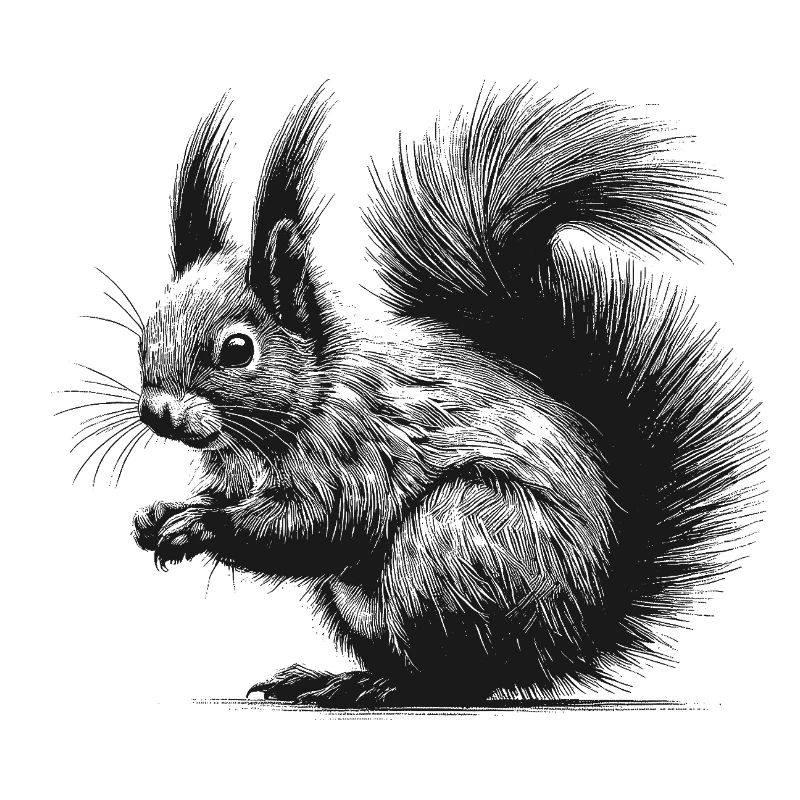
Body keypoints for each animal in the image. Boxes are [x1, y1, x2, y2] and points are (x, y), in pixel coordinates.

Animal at [124, 85, 762, 707]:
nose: (158, 413)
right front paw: (158, 515)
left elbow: (321, 523)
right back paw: (331, 679)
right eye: (143, 338)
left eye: (237, 349)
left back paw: (376, 687)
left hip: (452, 545)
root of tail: (571, 637)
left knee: (458, 675)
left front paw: (201, 526)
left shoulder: (362, 448)